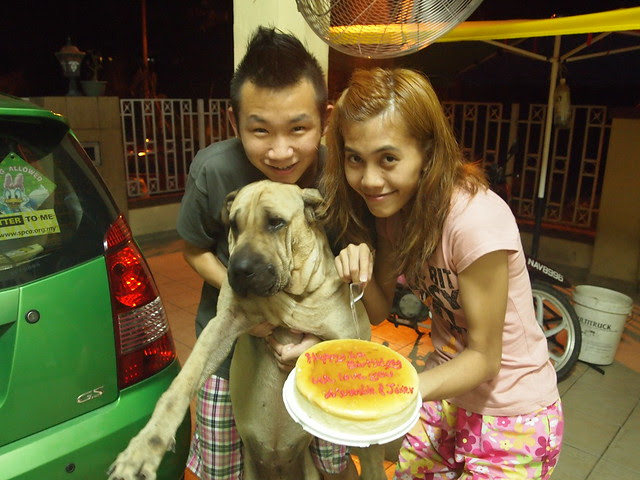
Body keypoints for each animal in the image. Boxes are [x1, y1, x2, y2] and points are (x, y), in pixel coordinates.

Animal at [108, 180, 391, 480]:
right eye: (234, 224)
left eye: (276, 222)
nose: (240, 270)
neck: (293, 296)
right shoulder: (222, 325)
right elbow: (180, 386)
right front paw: (144, 448)